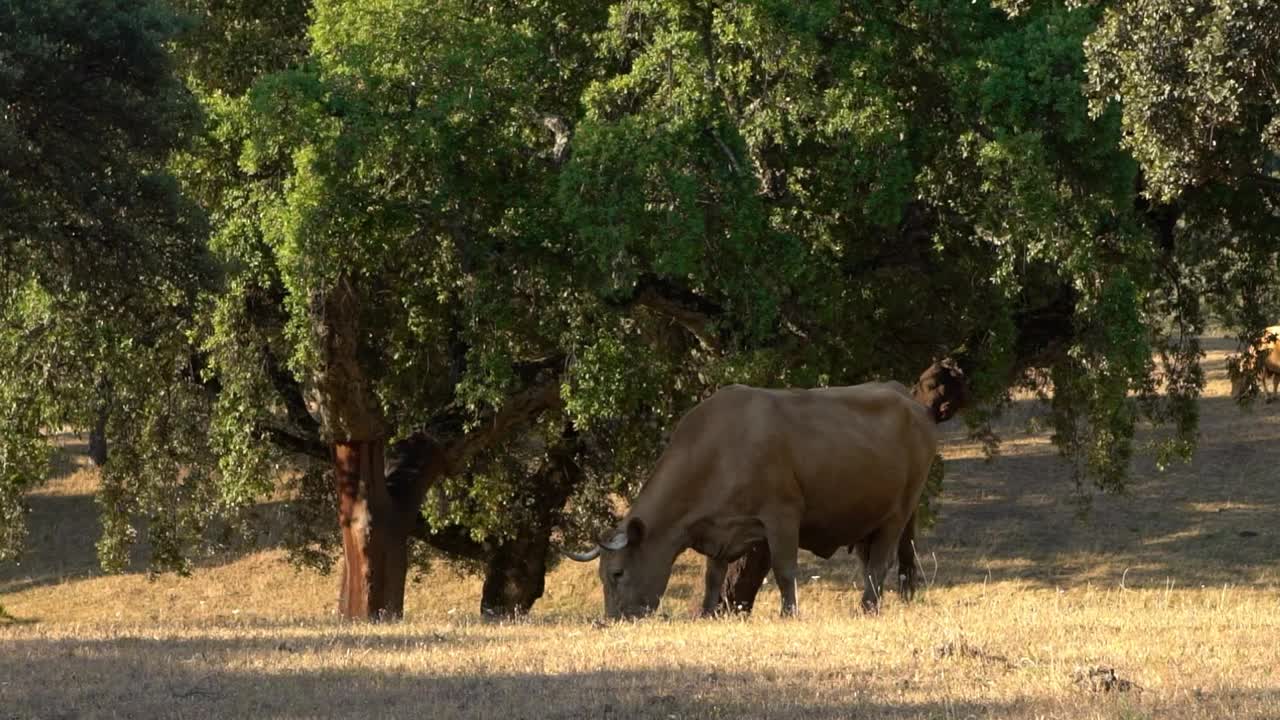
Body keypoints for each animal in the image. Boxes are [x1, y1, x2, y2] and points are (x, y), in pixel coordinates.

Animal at [565, 358, 962, 617]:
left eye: (617, 573)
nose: (613, 619)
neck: (718, 447)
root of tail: (909, 400)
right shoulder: (716, 529)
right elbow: (713, 578)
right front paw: (707, 614)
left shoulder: (782, 515)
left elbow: (784, 570)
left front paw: (789, 613)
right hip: (866, 517)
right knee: (873, 563)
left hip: (898, 512)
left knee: (881, 561)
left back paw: (866, 608)